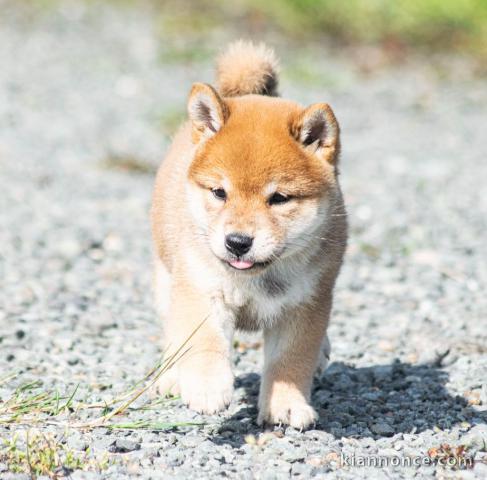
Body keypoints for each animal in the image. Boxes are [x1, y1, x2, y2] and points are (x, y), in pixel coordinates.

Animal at [152, 41, 346, 430]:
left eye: (279, 198)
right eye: (219, 192)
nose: (237, 242)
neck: (257, 280)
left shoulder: (306, 305)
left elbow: (290, 362)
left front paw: (286, 405)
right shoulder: (202, 289)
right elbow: (204, 341)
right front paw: (207, 388)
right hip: (166, 278)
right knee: (172, 329)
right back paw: (172, 375)